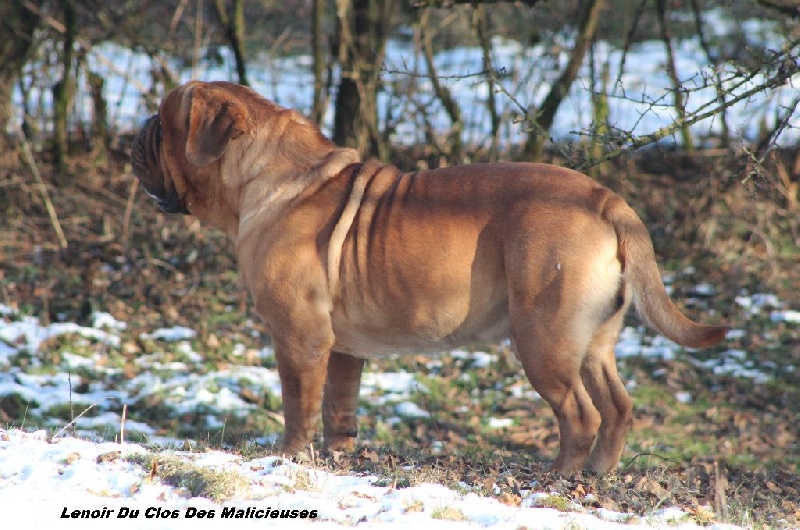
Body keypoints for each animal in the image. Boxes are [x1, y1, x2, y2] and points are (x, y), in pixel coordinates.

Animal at [130, 80, 724, 472]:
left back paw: (559, 476)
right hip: (594, 340)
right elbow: (338, 407)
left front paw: (289, 457)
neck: (263, 176)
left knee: (580, 415)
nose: (134, 135)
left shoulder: (300, 337)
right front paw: (340, 458)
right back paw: (598, 474)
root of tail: (607, 199)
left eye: (162, 124)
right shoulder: (342, 348)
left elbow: (299, 404)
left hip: (544, 337)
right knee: (617, 407)